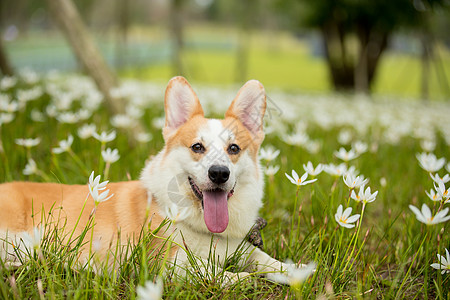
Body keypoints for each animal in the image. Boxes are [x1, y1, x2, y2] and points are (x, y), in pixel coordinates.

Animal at [0, 77, 294, 284]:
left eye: (234, 148)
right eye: (197, 147)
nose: (219, 173)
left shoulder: (241, 249)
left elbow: (264, 258)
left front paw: (294, 271)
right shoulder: (166, 260)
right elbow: (208, 270)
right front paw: (241, 279)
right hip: (20, 240)